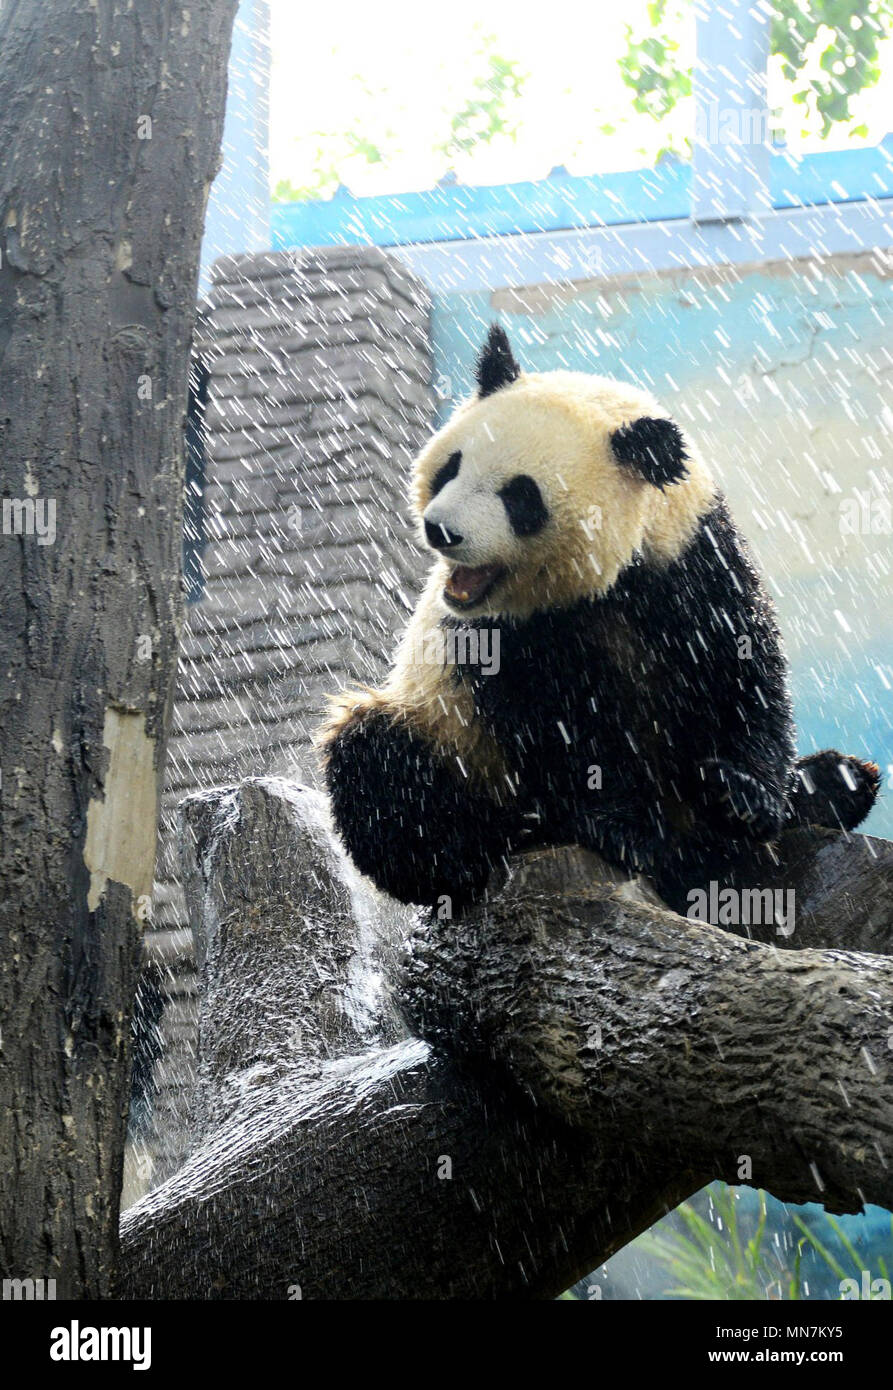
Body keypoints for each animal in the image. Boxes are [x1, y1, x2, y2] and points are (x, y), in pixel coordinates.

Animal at [318, 325, 879, 911]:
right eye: (452, 466)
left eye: (520, 496)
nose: (441, 530)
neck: (600, 584)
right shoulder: (499, 633)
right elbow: (554, 723)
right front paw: (628, 832)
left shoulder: (690, 556)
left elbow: (738, 666)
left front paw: (744, 795)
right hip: (446, 730)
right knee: (381, 765)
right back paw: (503, 838)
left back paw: (832, 783)